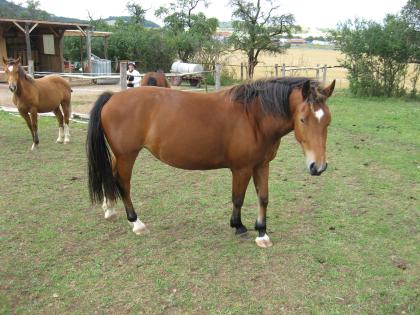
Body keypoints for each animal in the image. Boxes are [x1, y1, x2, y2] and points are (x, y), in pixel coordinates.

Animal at [87, 77, 336, 249]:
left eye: (328, 122)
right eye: (303, 119)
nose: (318, 167)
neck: (254, 117)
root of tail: (113, 97)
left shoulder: (262, 165)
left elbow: (263, 198)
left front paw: (262, 233)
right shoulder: (241, 169)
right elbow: (238, 198)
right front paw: (239, 226)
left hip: (120, 156)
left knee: (111, 177)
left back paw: (109, 208)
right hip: (127, 156)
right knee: (123, 185)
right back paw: (136, 222)